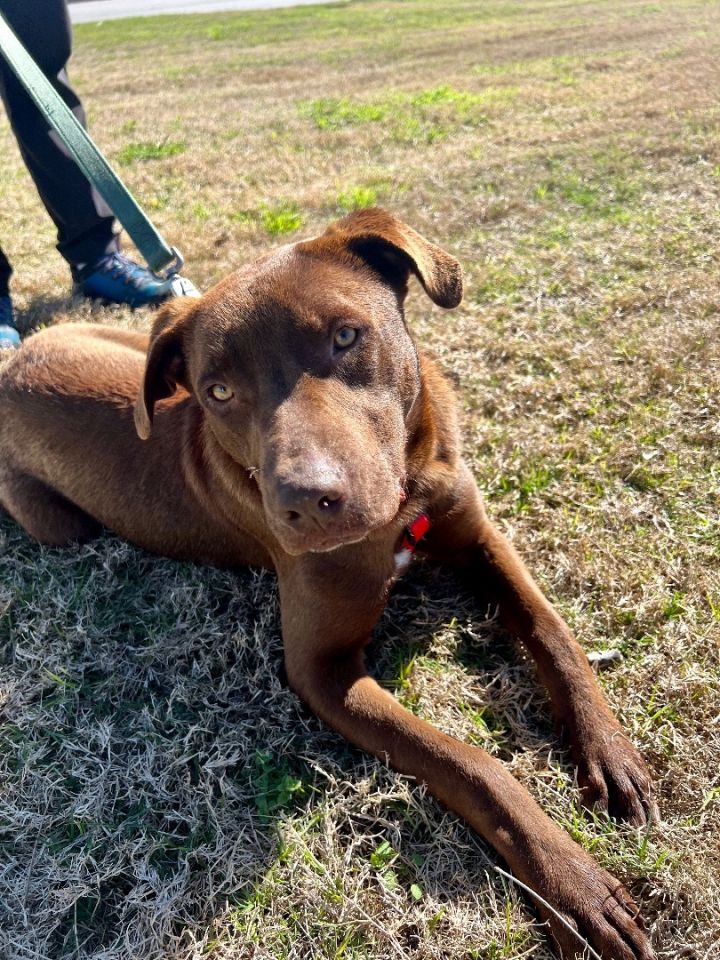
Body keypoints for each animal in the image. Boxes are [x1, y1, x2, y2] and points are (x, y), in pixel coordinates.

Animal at [0, 212, 656, 960]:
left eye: (345, 337)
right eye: (218, 391)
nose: (305, 504)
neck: (406, 506)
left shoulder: (477, 535)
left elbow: (552, 630)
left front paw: (609, 752)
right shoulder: (323, 671)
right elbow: (470, 765)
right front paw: (572, 886)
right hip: (58, 523)